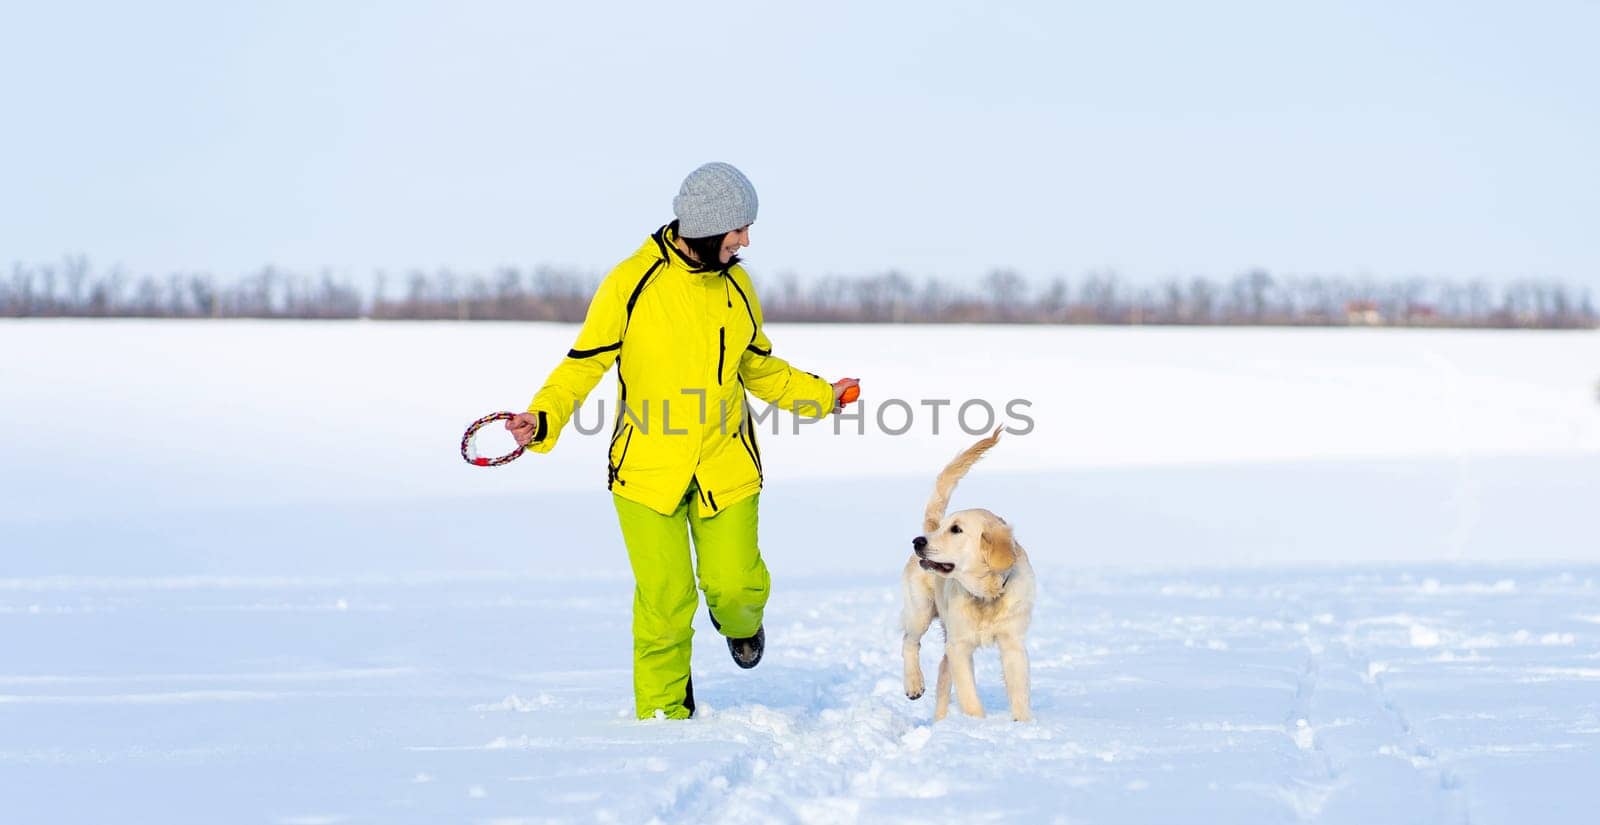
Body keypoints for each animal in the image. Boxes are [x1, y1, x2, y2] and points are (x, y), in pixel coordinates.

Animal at [902, 428, 1036, 719]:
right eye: (944, 527)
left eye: (956, 529)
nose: (918, 541)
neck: (986, 595)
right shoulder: (960, 646)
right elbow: (970, 697)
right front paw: (978, 723)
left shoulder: (1012, 643)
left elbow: (1019, 693)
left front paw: (1023, 723)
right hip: (920, 610)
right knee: (909, 641)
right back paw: (914, 684)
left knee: (943, 672)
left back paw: (940, 721)